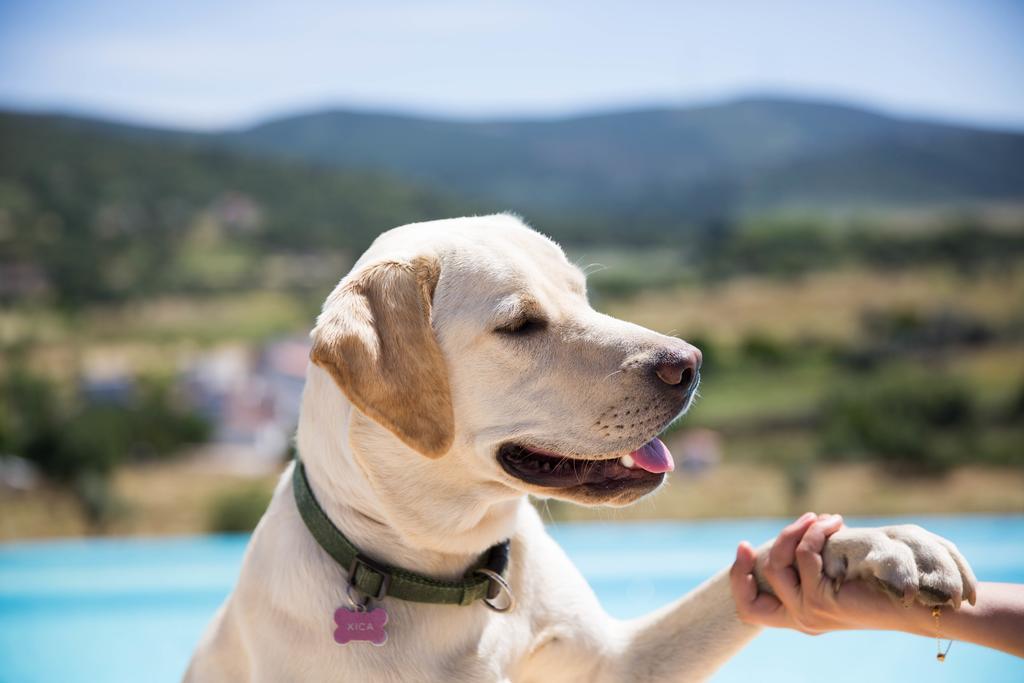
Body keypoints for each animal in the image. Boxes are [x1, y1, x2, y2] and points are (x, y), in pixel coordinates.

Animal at [188, 215, 978, 683]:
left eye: (582, 293)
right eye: (520, 324)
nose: (689, 362)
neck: (452, 571)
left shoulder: (620, 664)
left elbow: (739, 580)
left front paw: (875, 544)